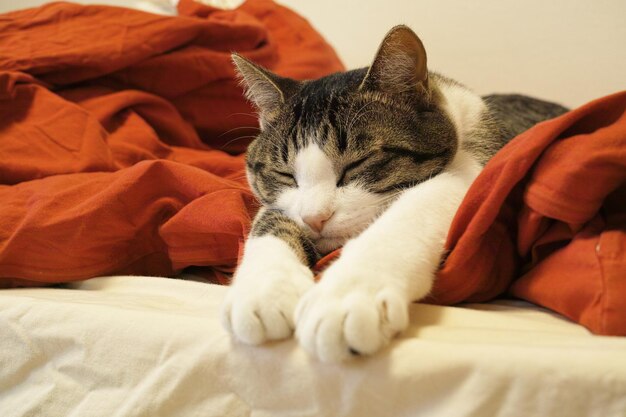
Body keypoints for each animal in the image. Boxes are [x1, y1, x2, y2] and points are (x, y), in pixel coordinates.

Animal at [219, 24, 564, 360]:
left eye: (357, 163)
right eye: (285, 174)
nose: (316, 219)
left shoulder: (482, 164)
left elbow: (421, 203)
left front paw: (346, 296)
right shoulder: (283, 204)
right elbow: (270, 219)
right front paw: (264, 289)